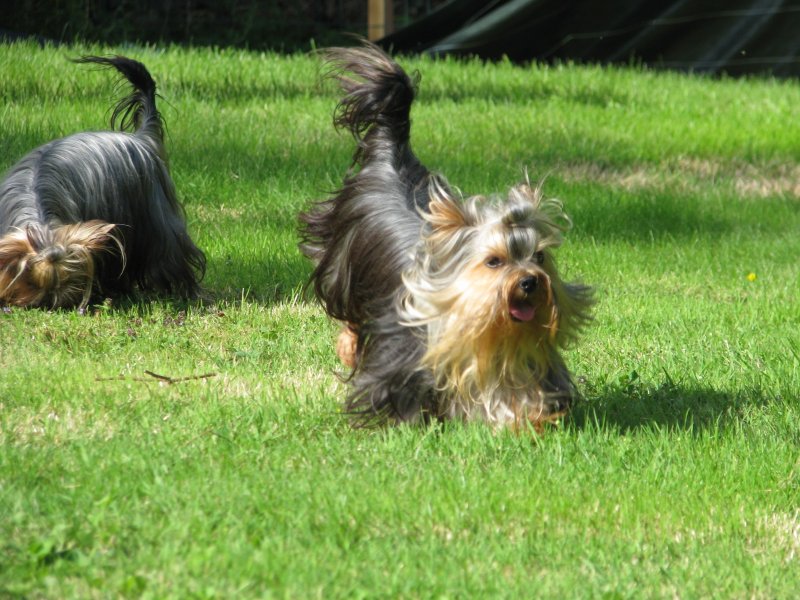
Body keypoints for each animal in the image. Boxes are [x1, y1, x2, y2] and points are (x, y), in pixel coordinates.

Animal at [0, 55, 206, 310]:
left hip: (155, 217)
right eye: (31, 281)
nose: (52, 300)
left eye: (68, 278)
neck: (40, 222)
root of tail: (141, 138)